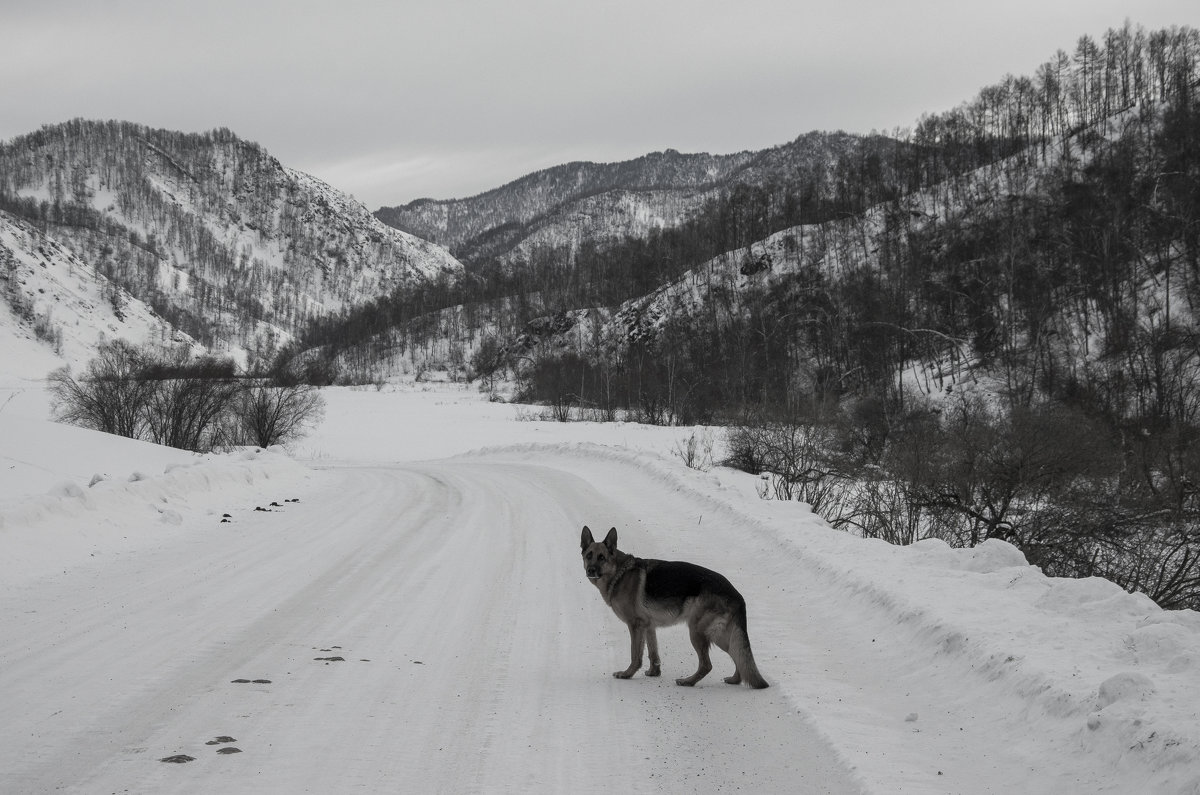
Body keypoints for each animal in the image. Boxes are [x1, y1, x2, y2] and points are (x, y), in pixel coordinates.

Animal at [580, 525, 768, 686]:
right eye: (589, 555)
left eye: (601, 557)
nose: (590, 570)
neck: (618, 572)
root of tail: (737, 594)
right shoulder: (649, 626)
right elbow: (653, 653)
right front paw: (654, 672)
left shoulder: (635, 626)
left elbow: (635, 655)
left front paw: (627, 674)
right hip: (720, 634)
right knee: (737, 655)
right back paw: (735, 679)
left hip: (698, 631)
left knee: (707, 664)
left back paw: (688, 682)